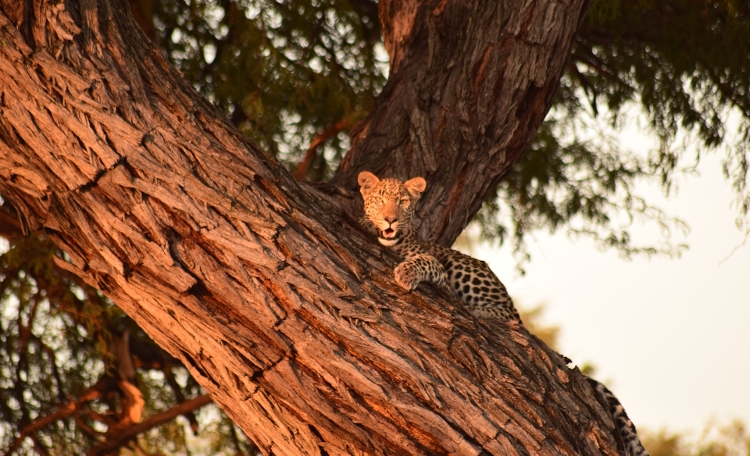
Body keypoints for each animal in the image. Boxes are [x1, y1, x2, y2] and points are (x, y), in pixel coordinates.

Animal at [362, 171, 648, 456]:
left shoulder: (440, 271)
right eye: (380, 200)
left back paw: (475, 310)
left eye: (402, 202)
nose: (390, 218)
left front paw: (406, 272)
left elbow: (426, 261)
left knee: (510, 317)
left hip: (466, 269)